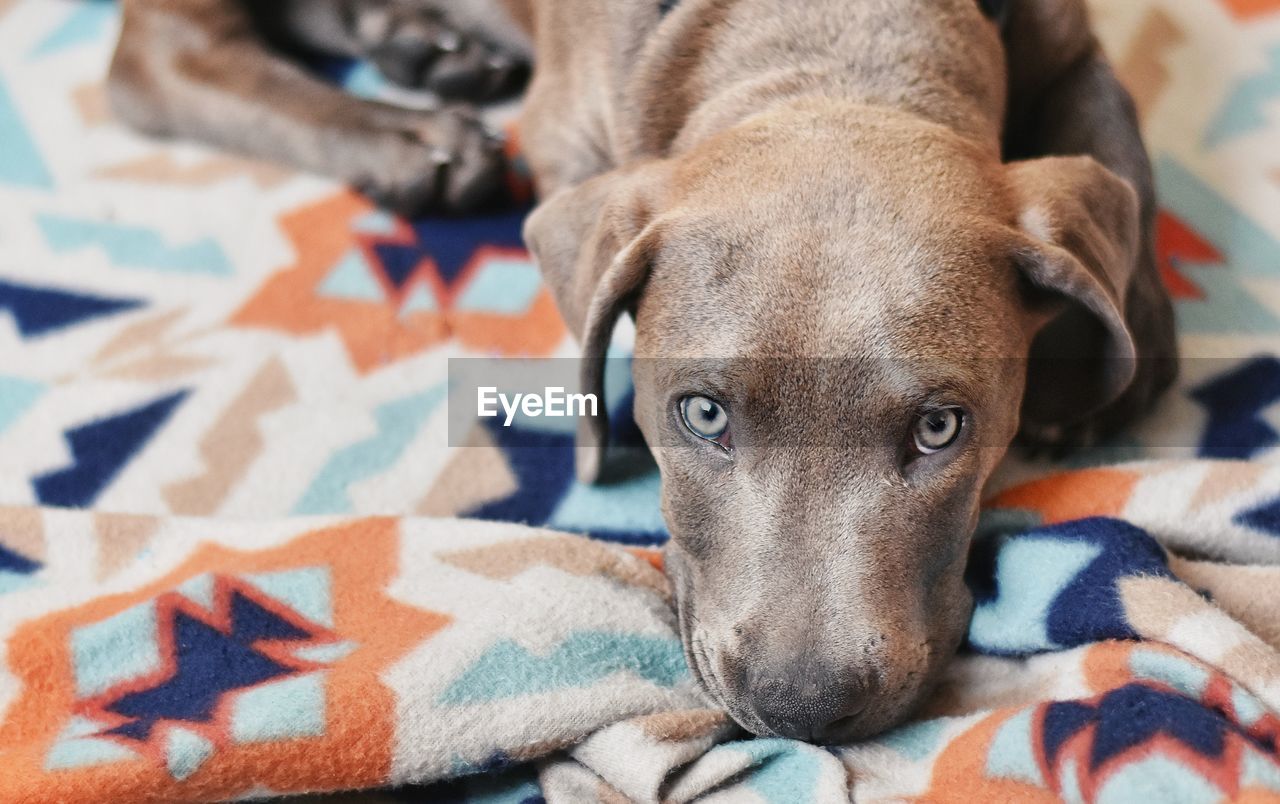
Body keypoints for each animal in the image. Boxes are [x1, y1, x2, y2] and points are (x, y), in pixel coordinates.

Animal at [110, 0, 1177, 742]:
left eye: (940, 427)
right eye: (700, 414)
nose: (799, 705)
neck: (830, 43)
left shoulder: (1071, 46)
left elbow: (1122, 150)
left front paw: (1117, 347)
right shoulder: (568, 140)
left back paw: (424, 44)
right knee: (159, 54)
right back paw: (407, 137)